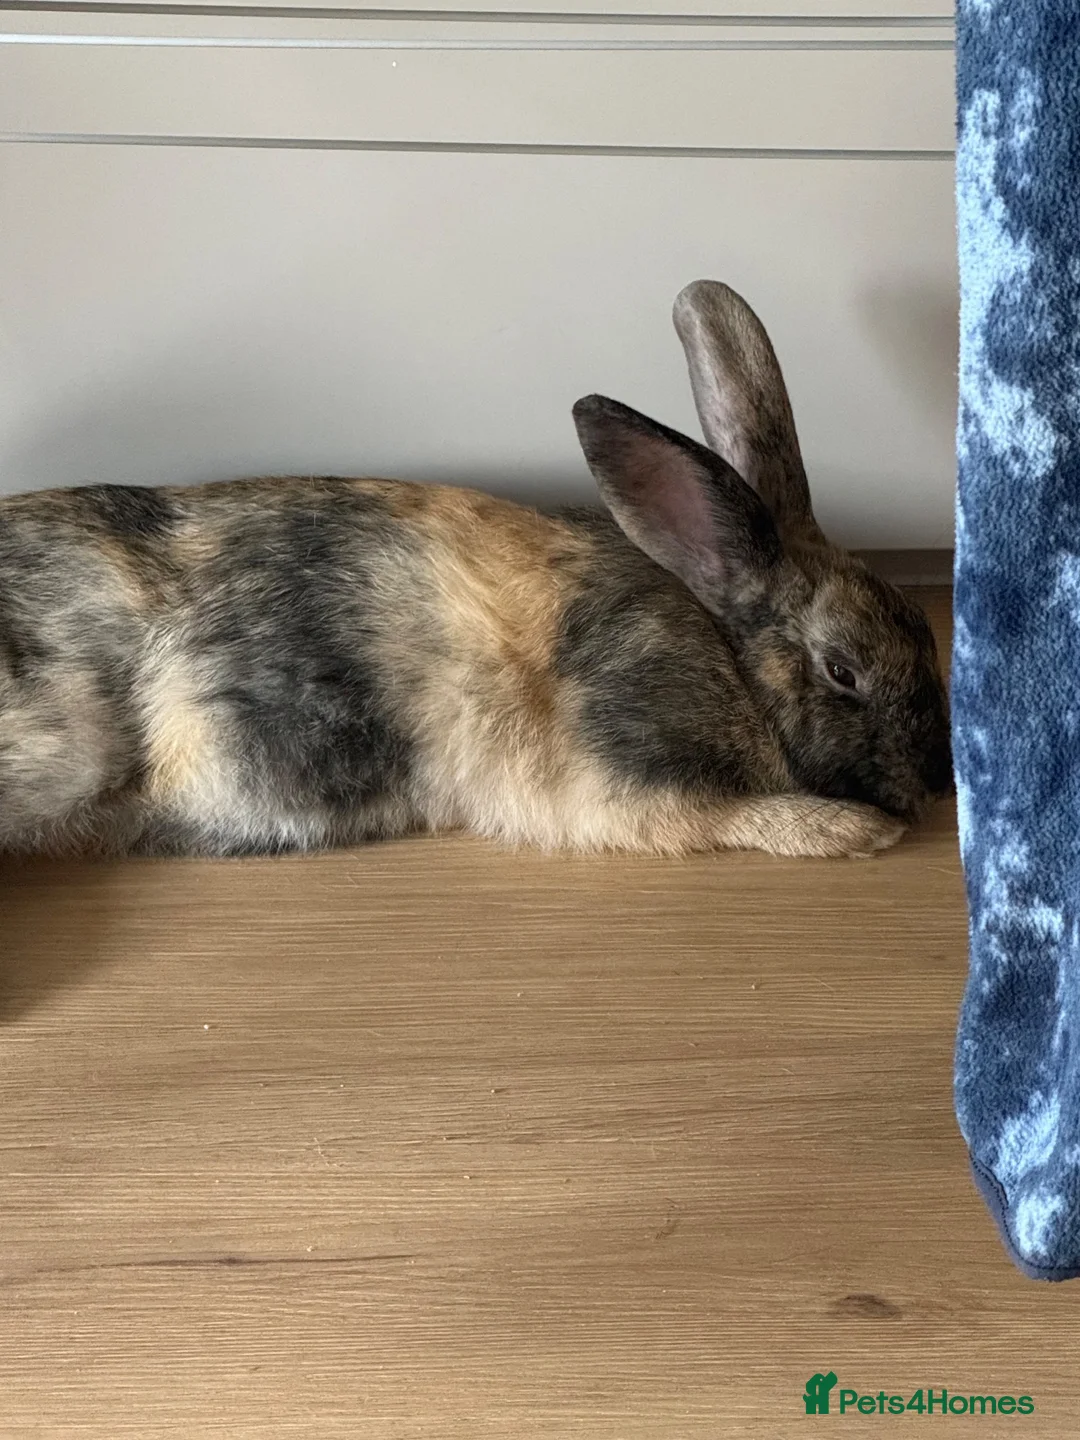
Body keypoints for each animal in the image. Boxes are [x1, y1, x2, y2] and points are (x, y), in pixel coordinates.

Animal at [0, 280, 950, 861]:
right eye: (842, 671)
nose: (941, 783)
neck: (731, 659)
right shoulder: (636, 775)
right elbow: (734, 816)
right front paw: (853, 831)